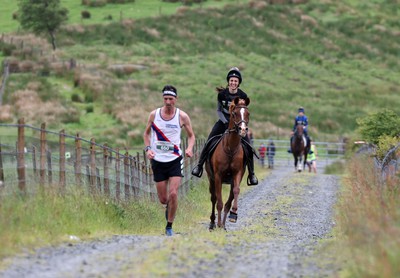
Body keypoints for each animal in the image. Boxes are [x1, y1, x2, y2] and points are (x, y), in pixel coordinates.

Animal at [206, 96, 250, 229]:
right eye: (234, 113)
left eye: (248, 114)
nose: (243, 130)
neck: (231, 148)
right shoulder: (218, 176)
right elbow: (219, 201)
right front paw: (219, 223)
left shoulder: (237, 174)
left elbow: (235, 193)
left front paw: (233, 215)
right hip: (211, 178)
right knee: (213, 198)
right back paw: (212, 223)